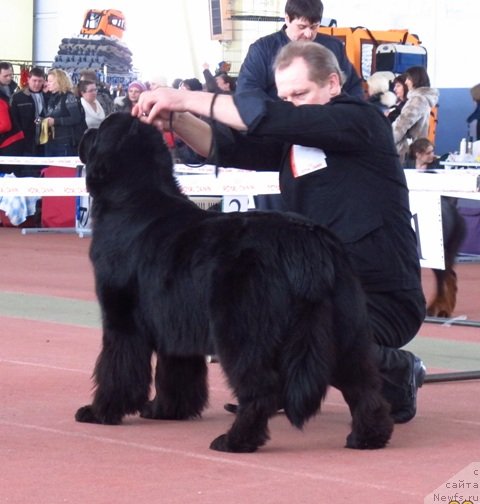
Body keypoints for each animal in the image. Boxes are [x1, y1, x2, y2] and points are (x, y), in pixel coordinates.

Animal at [75, 114, 394, 452]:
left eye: (101, 129)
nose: (86, 130)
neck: (132, 198)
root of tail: (307, 243)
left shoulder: (121, 316)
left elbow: (115, 368)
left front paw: (99, 411)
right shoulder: (175, 321)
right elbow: (175, 370)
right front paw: (167, 410)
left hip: (241, 329)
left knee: (262, 388)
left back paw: (236, 439)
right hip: (346, 327)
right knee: (364, 383)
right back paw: (369, 436)